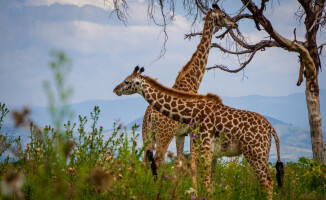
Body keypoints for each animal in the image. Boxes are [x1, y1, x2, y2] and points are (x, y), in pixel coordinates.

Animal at [113, 66, 284, 199]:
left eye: (127, 81)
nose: (115, 89)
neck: (191, 113)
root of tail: (270, 128)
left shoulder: (204, 149)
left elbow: (206, 185)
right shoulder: (212, 154)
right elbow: (210, 186)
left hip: (254, 153)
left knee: (267, 181)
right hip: (263, 154)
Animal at [142, 3, 237, 180]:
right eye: (223, 15)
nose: (234, 24)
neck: (192, 80)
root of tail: (149, 114)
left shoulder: (181, 134)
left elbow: (180, 163)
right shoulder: (193, 131)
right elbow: (193, 165)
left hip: (147, 134)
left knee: (144, 163)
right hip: (164, 135)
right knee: (157, 161)